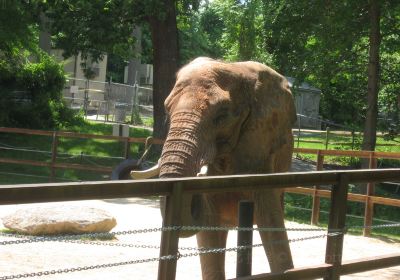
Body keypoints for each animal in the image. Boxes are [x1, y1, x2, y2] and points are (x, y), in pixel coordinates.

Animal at [132, 57, 296, 280]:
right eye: (167, 111)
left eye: (221, 116)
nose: (198, 172)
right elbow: (209, 230)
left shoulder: (261, 149)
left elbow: (272, 225)